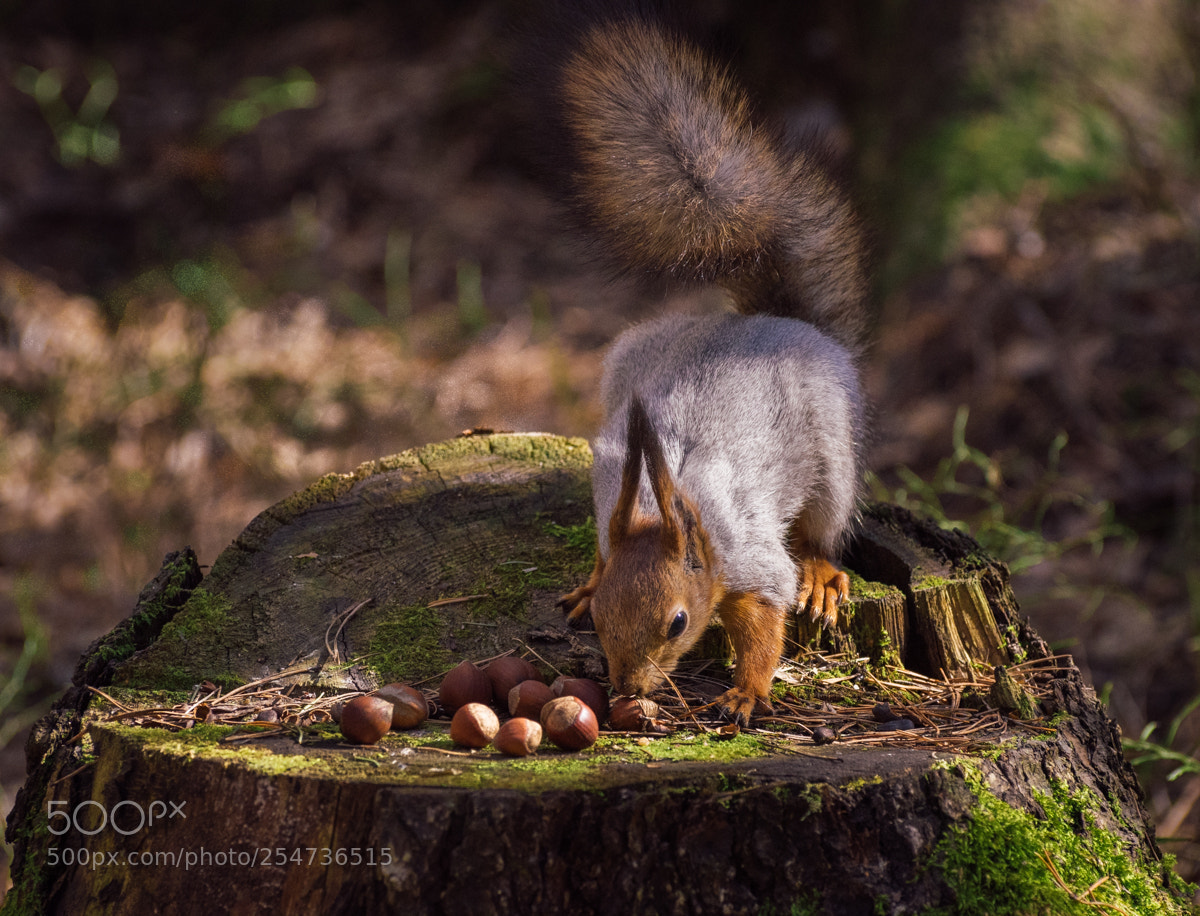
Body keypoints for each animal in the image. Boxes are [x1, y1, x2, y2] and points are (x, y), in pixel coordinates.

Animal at [550, 9, 870, 724]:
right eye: (603, 620)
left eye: (675, 624)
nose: (628, 689)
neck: (661, 502)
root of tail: (773, 324)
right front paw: (586, 583)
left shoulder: (749, 558)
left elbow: (764, 620)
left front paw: (747, 691)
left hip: (835, 456)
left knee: (822, 528)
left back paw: (821, 576)